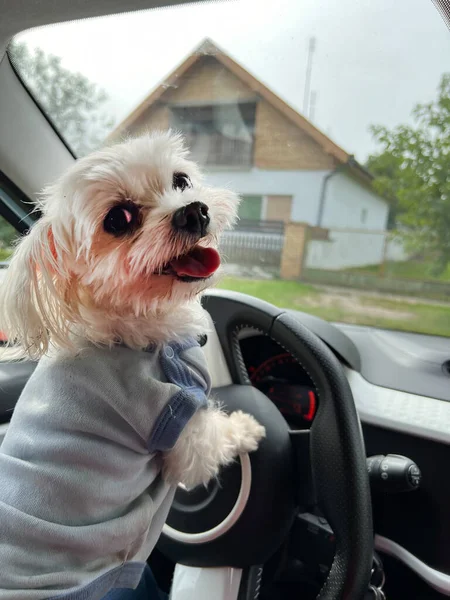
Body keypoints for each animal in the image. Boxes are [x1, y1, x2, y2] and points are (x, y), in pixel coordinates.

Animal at [0, 132, 264, 600]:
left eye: (181, 180)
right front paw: (247, 427)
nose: (194, 210)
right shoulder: (172, 412)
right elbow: (210, 443)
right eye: (119, 219)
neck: (132, 329)